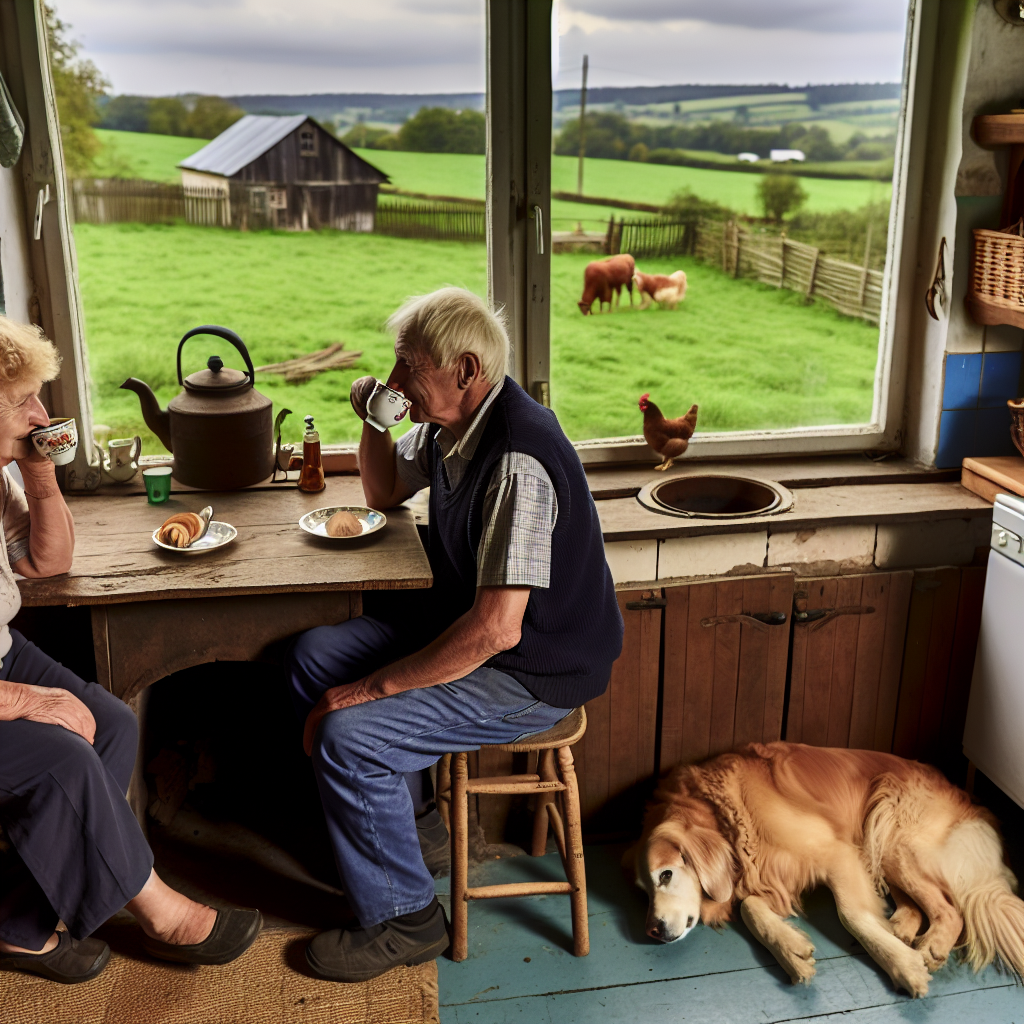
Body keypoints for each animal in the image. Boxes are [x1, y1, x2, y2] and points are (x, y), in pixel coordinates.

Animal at [626, 741, 1024, 995]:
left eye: (666, 874)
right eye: (643, 893)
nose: (652, 931)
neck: (726, 815)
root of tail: (970, 801)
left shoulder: (835, 852)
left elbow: (851, 914)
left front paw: (903, 966)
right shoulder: (768, 873)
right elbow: (750, 906)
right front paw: (791, 951)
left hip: (894, 831)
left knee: (950, 910)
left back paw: (929, 950)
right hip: (880, 842)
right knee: (917, 905)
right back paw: (899, 928)